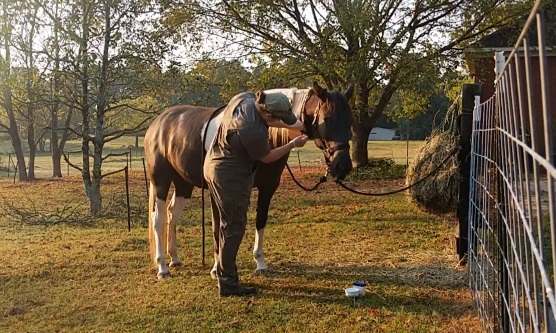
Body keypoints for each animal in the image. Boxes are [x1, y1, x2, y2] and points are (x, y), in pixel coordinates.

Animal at [143, 81, 352, 278]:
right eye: (327, 119)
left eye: (349, 119)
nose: (343, 166)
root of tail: (158, 122)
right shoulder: (217, 192)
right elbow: (218, 227)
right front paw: (216, 268)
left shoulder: (267, 188)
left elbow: (260, 221)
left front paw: (260, 263)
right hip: (161, 181)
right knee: (158, 218)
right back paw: (162, 267)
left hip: (183, 184)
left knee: (172, 213)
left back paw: (174, 259)